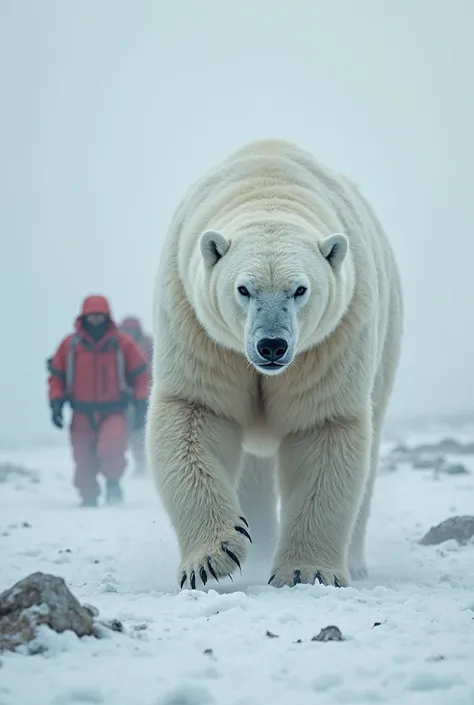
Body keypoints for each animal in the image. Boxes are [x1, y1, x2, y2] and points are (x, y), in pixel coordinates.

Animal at [146, 138, 402, 588]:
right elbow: (196, 409)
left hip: (385, 343)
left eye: (300, 289)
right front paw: (215, 557)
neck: (269, 190)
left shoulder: (332, 338)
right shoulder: (199, 326)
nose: (271, 346)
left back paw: (353, 560)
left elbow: (322, 426)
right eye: (243, 289)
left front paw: (309, 572)